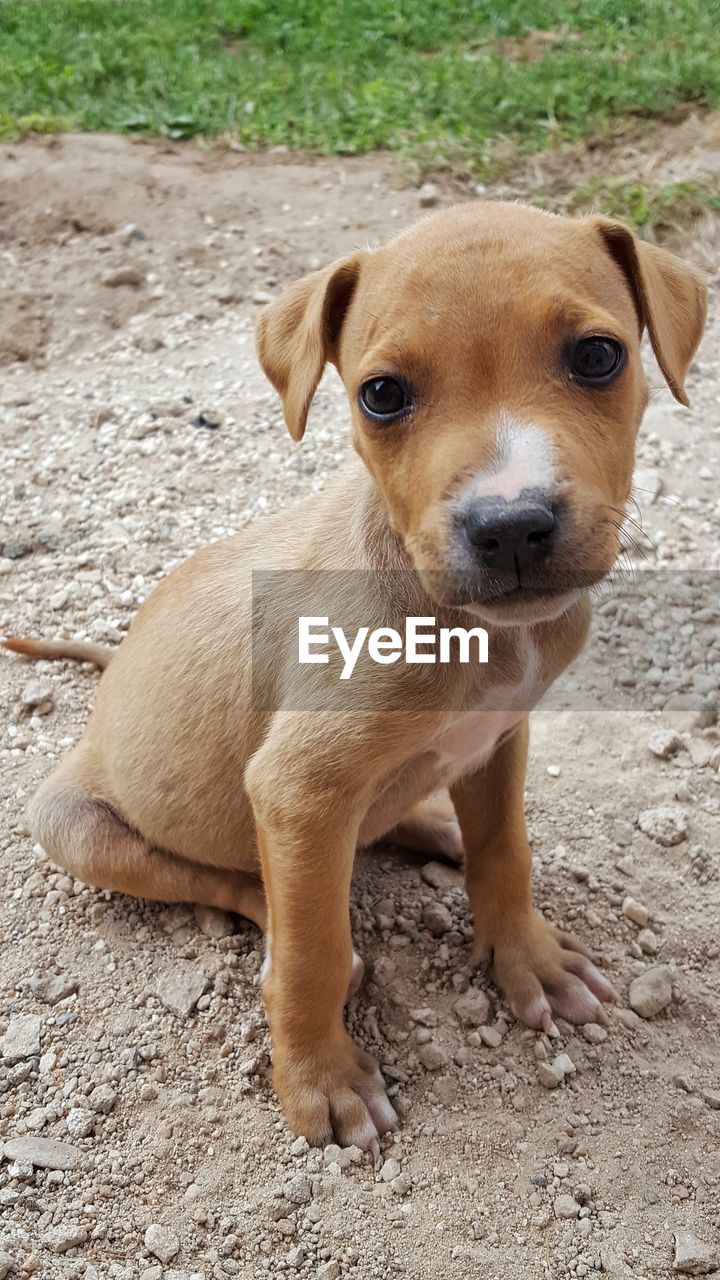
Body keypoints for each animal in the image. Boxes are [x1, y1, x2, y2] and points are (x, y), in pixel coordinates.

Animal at [2, 202, 702, 1152]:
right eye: (383, 395)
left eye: (598, 356)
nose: (511, 526)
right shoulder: (299, 789)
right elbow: (313, 954)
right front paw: (320, 1079)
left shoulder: (501, 735)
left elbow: (505, 851)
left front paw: (530, 960)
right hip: (72, 827)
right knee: (238, 887)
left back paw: (431, 822)